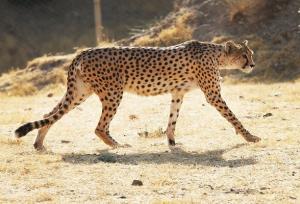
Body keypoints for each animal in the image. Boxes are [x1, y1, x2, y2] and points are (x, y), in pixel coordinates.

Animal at [15, 39, 260, 151]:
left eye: (251, 54)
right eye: (244, 55)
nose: (253, 65)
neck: (216, 55)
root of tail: (83, 52)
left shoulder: (178, 92)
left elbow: (172, 119)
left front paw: (171, 142)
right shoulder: (213, 95)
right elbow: (233, 117)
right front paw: (250, 137)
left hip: (79, 93)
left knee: (50, 113)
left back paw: (39, 144)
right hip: (112, 92)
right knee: (99, 127)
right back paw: (117, 145)